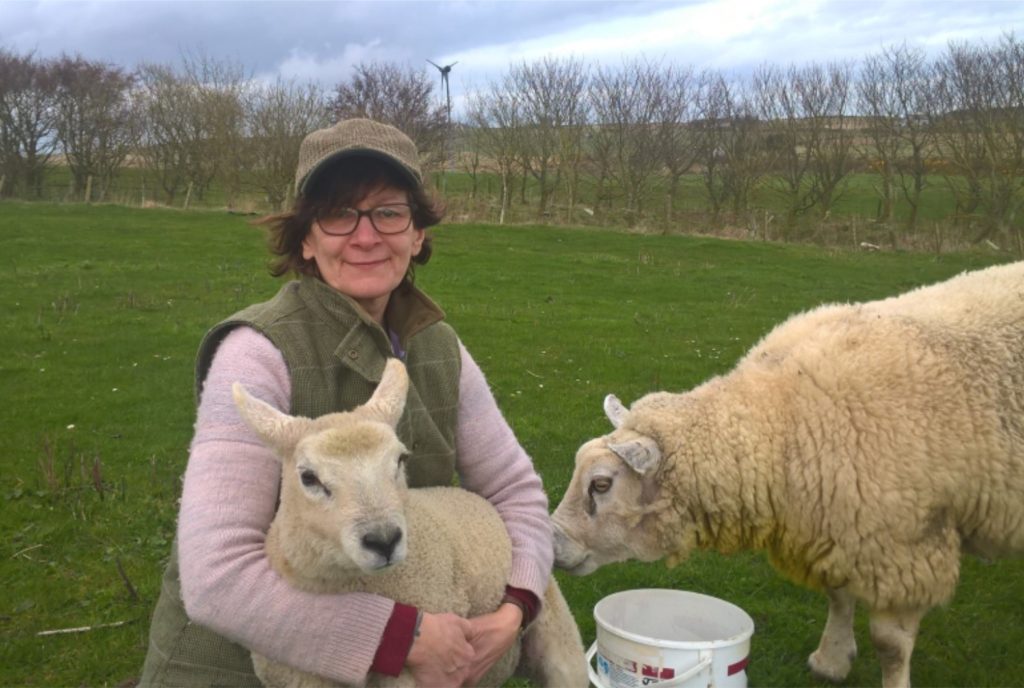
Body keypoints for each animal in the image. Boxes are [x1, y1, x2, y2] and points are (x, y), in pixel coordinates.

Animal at [231, 358, 585, 688]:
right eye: (308, 477)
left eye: (400, 459)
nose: (384, 540)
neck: (357, 586)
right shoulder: (295, 676)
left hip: (559, 635)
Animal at [552, 262, 1024, 688]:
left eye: (601, 484)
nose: (554, 548)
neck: (783, 418)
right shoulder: (838, 522)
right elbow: (839, 596)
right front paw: (832, 660)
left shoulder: (904, 544)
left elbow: (890, 644)